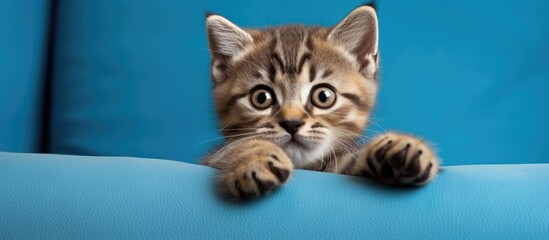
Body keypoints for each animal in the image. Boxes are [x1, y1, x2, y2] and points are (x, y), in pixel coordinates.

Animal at [203, 4, 438, 199]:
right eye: (262, 98)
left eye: (323, 96)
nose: (292, 123)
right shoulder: (208, 160)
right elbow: (232, 148)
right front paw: (256, 157)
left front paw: (400, 149)